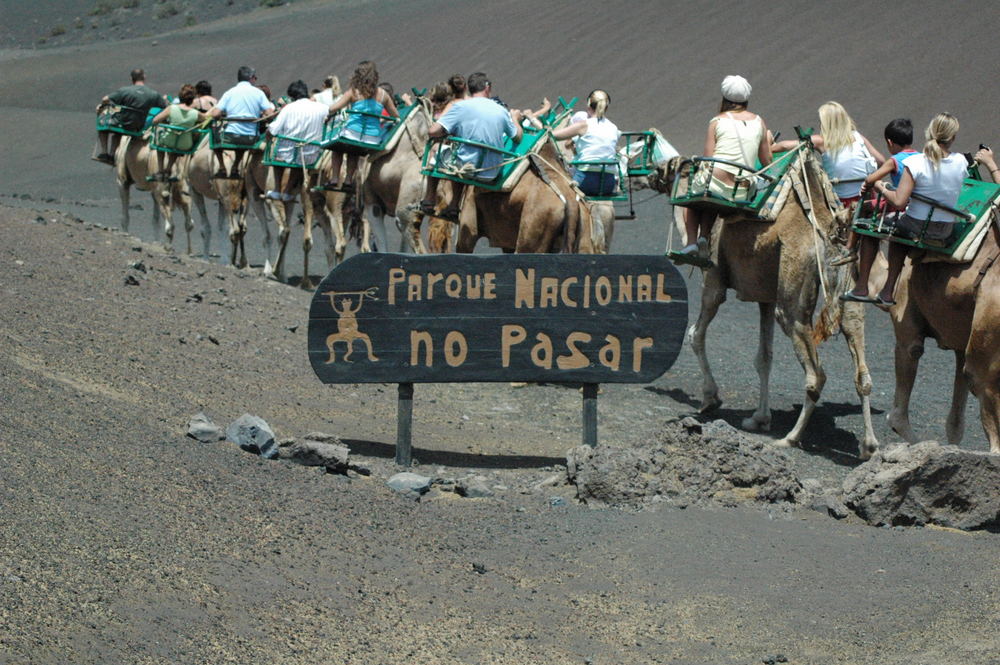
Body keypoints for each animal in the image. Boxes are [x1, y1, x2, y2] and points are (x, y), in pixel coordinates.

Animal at [652, 149, 880, 462]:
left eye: (669, 166)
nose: (652, 175)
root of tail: (830, 238)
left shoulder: (714, 280)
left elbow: (695, 334)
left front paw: (710, 399)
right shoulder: (765, 298)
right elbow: (764, 357)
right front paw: (759, 419)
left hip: (792, 300)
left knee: (816, 375)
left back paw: (791, 438)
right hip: (850, 294)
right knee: (862, 370)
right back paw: (869, 446)